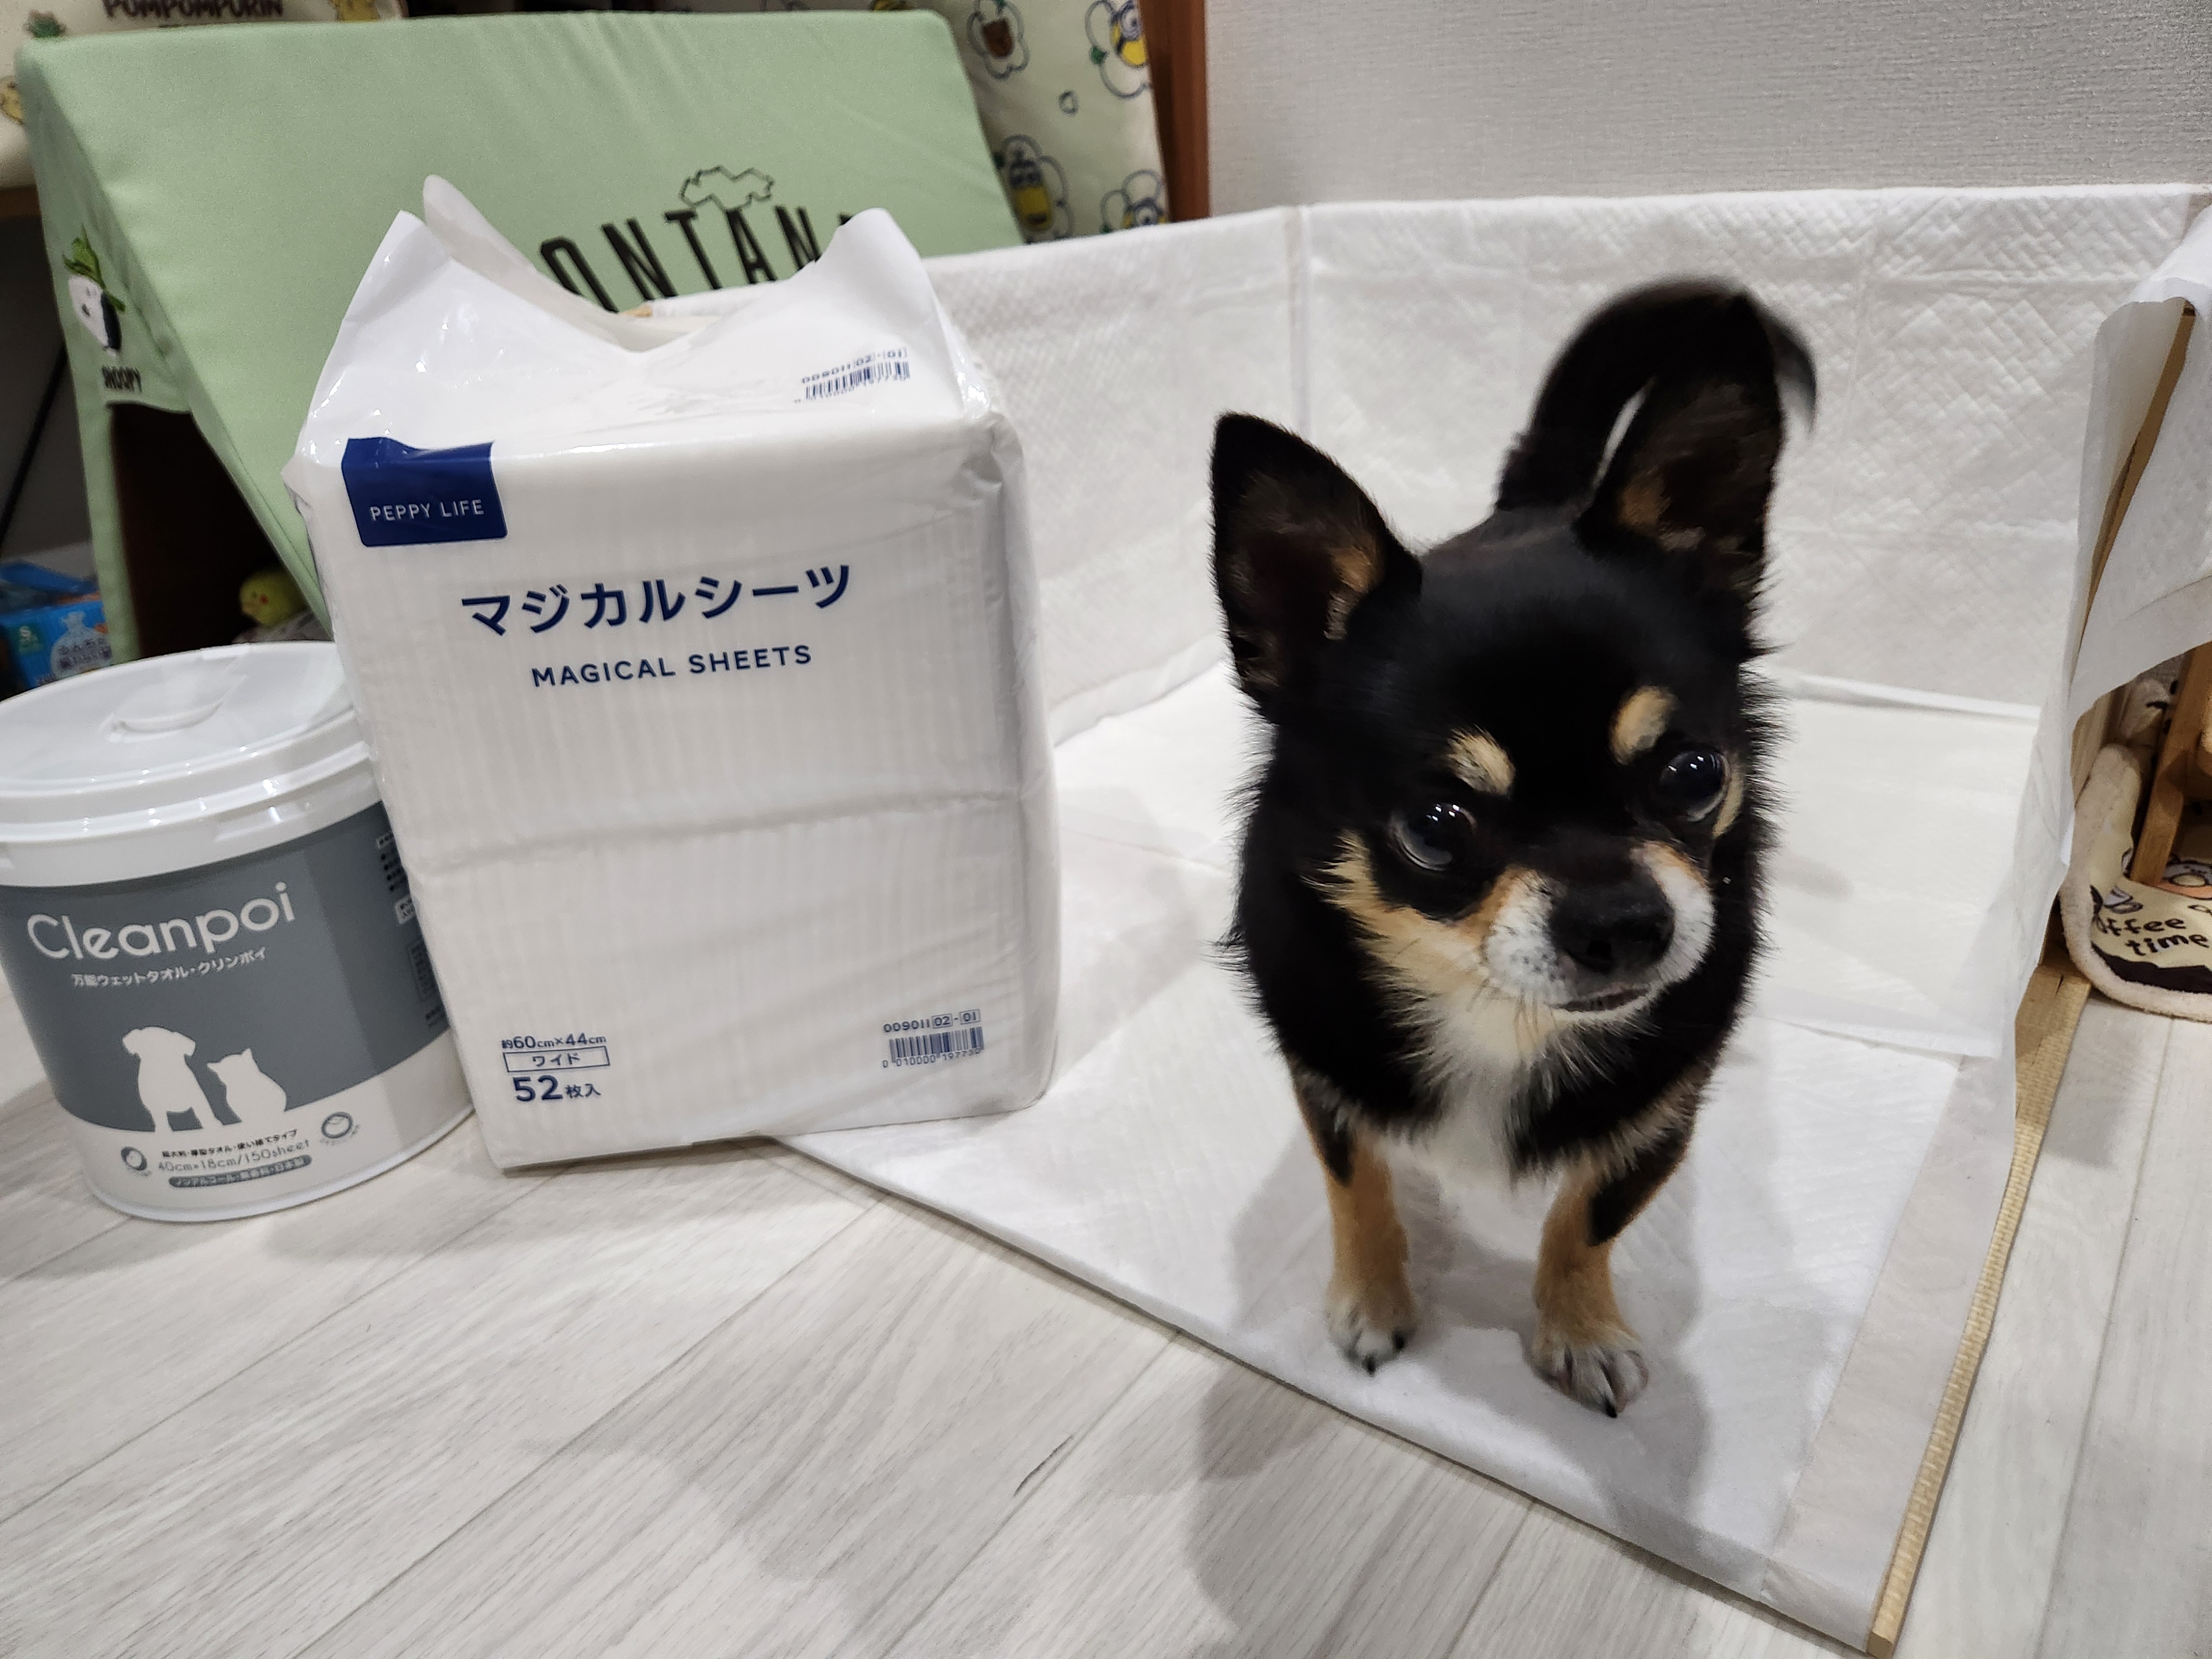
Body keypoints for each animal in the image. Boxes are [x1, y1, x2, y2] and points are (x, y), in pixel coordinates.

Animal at [1211, 282, 1811, 1415]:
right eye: (1436, 827)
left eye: (1694, 775)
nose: (1623, 924)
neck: (1493, 1017)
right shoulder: (1326, 1074)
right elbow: (1357, 1186)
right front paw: (1373, 1301)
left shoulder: (1661, 1109)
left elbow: (1590, 1214)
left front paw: (1578, 1329)